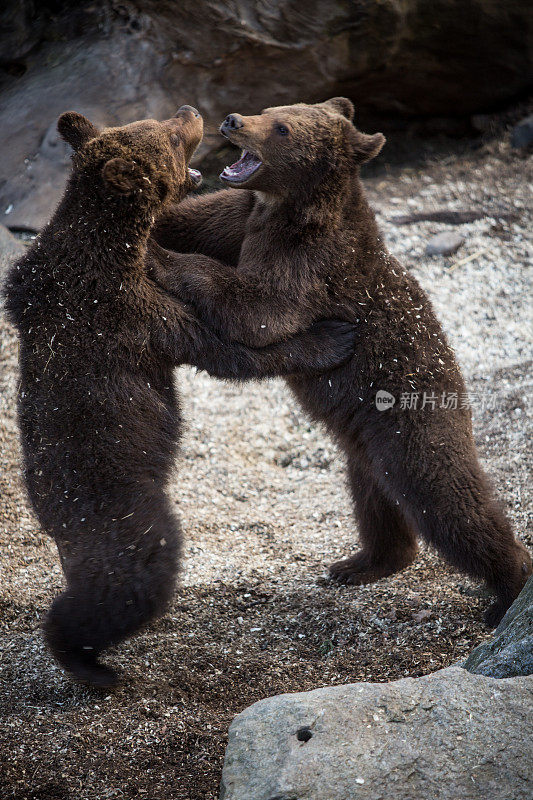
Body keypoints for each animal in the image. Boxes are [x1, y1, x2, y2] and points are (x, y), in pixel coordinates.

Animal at [2, 104, 358, 688]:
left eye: (156, 120)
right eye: (169, 136)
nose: (193, 112)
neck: (105, 245)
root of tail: (53, 521)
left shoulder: (44, 284)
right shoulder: (135, 313)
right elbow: (230, 349)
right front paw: (330, 337)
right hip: (124, 513)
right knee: (127, 584)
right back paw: (91, 667)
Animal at [151, 100, 532, 624]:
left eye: (282, 127)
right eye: (269, 109)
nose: (232, 120)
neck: (289, 208)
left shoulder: (309, 265)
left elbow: (257, 309)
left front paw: (160, 257)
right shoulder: (242, 218)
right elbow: (195, 221)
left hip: (411, 418)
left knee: (447, 498)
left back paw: (508, 587)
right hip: (366, 442)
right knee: (374, 498)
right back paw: (361, 563)